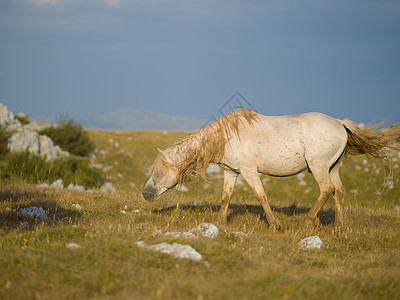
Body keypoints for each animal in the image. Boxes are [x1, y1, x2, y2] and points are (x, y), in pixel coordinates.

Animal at [142, 109, 398, 230]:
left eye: (158, 172)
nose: (145, 194)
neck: (226, 136)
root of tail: (340, 124)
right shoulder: (231, 172)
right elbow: (226, 197)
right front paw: (220, 223)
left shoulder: (248, 171)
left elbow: (261, 196)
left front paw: (275, 225)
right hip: (332, 168)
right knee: (339, 193)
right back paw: (338, 225)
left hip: (318, 167)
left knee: (326, 190)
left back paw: (309, 221)